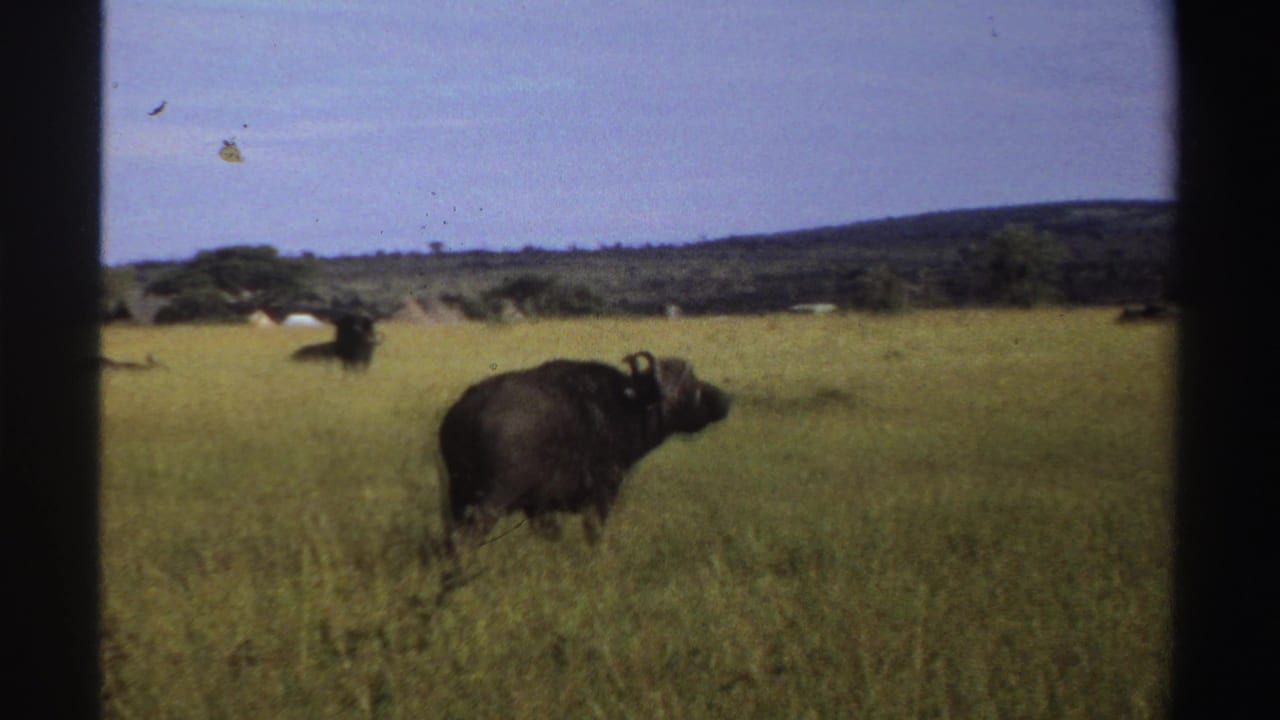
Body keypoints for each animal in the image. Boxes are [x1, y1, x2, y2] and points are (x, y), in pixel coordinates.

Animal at [437, 351, 730, 550]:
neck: (628, 404)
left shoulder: (540, 509)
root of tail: (464, 412)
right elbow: (595, 532)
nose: (724, 399)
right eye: (689, 385)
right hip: (491, 501)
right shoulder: (603, 494)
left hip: (458, 498)